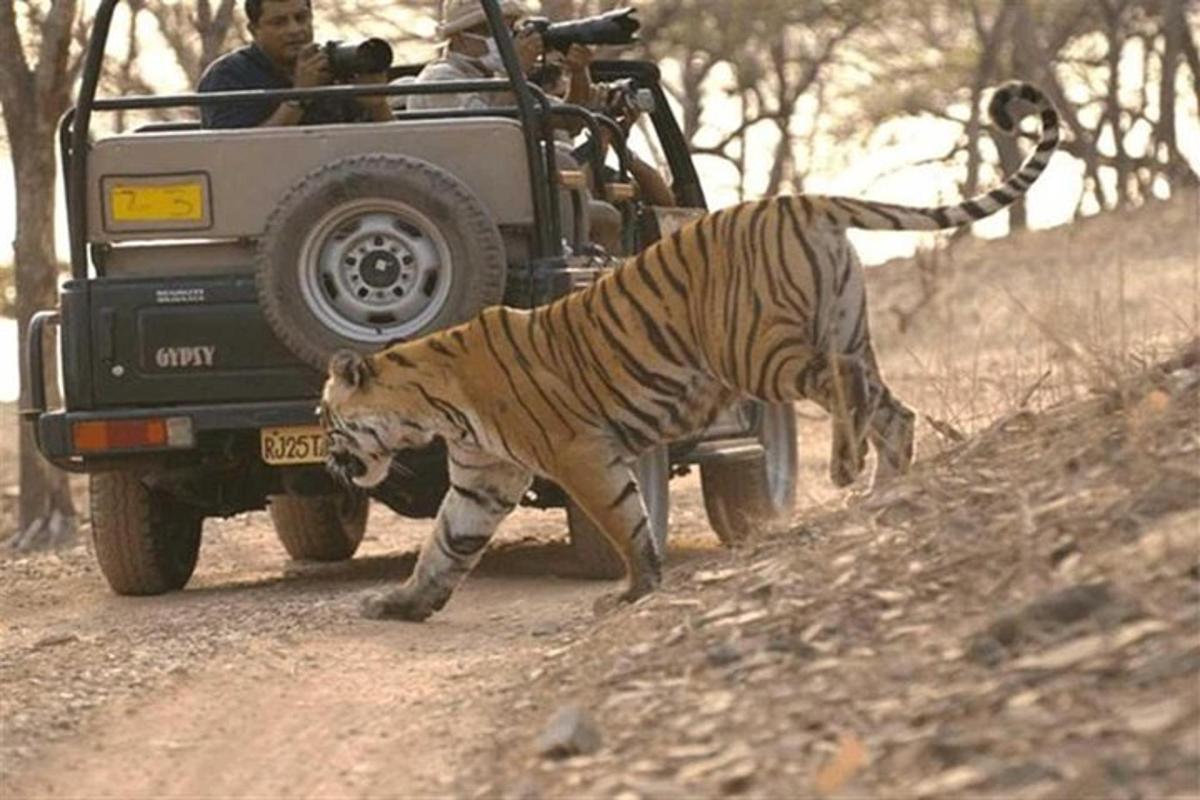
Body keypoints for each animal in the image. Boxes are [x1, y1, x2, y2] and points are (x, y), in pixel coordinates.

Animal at [321, 81, 1060, 623]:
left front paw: (634, 590)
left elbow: (624, 521)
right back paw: (884, 491)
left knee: (844, 386)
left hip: (757, 350)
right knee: (892, 410)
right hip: (841, 328)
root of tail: (800, 198)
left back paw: (848, 470)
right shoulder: (484, 475)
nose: (328, 461)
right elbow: (447, 545)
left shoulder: (579, 452)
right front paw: (403, 603)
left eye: (329, 421)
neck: (432, 405)